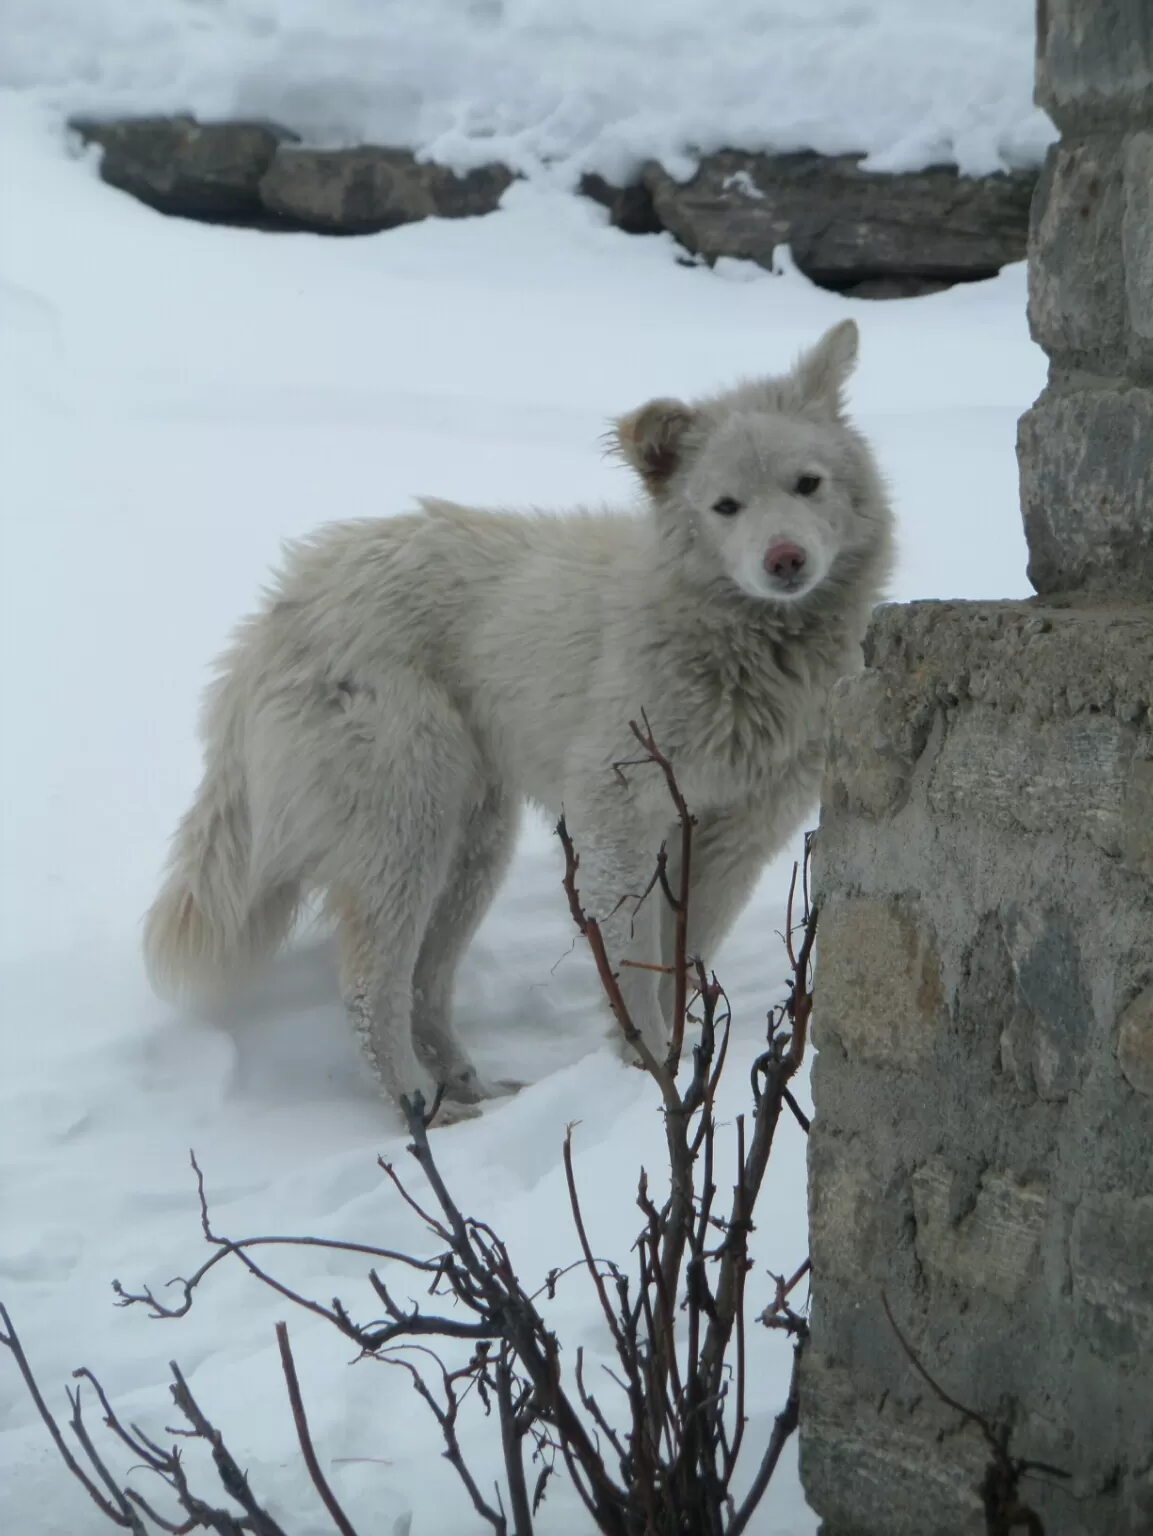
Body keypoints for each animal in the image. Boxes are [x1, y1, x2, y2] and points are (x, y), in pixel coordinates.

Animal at [144, 321, 896, 1118]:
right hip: (405, 829)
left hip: (474, 845)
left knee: (425, 985)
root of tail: (275, 614)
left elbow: (684, 960)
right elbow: (633, 964)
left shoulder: (736, 834)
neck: (736, 639)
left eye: (807, 483)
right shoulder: (617, 811)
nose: (785, 560)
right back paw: (423, 1109)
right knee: (370, 990)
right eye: (725, 506)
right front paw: (647, 1075)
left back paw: (467, 1087)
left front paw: (684, 1057)